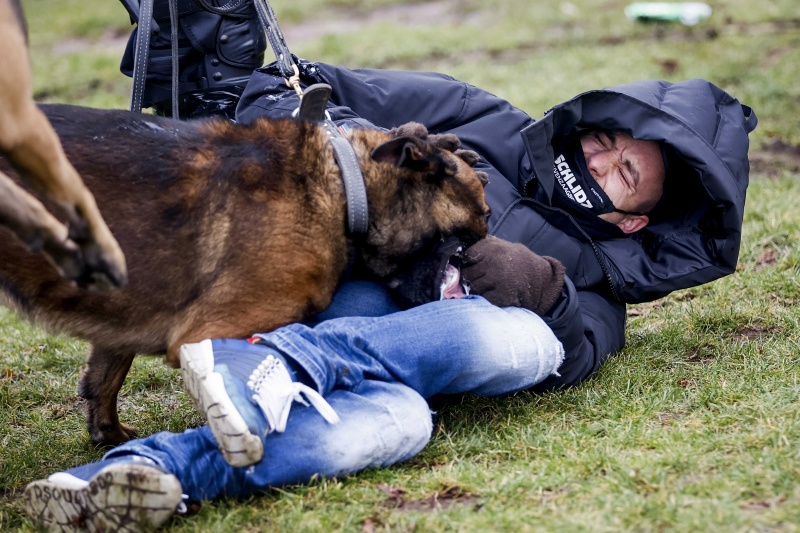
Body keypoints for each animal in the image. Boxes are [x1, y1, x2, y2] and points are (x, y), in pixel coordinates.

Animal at [0, 104, 488, 444]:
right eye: (483, 211)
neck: (345, 188)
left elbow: (104, 376)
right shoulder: (213, 331)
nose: (481, 251)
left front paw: (109, 436)